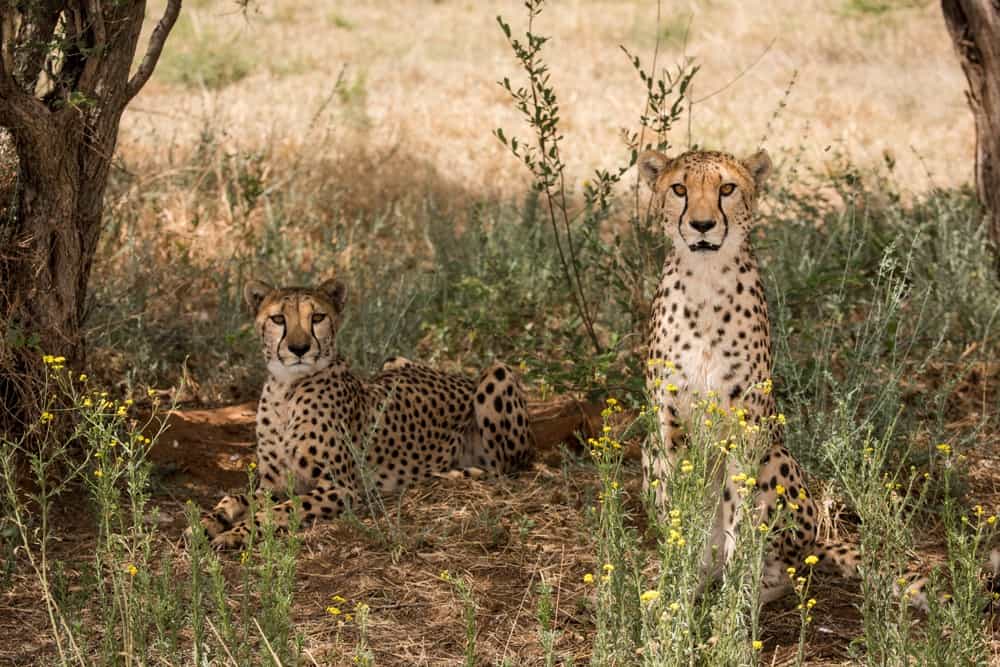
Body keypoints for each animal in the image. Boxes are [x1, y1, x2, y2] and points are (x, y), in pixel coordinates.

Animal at [198, 276, 536, 548]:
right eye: (278, 319)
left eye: (317, 317)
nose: (299, 348)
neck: (286, 389)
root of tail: (458, 376)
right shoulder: (273, 485)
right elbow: (235, 497)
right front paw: (208, 522)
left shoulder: (340, 488)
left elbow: (278, 510)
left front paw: (237, 532)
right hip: (394, 361)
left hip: (497, 372)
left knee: (505, 467)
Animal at [640, 149, 884, 608]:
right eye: (679, 188)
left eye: (727, 188)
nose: (702, 225)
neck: (705, 282)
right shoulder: (670, 427)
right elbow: (684, 515)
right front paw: (676, 588)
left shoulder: (747, 427)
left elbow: (741, 516)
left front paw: (733, 607)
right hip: (649, 450)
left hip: (777, 456)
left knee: (785, 566)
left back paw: (748, 588)